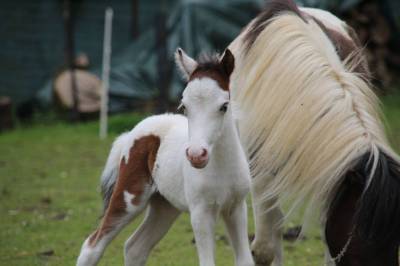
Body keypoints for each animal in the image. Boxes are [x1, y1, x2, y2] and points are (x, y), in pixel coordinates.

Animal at [76, 48, 253, 266]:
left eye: (224, 106)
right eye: (184, 106)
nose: (196, 155)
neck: (220, 166)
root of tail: (132, 133)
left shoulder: (236, 207)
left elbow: (245, 260)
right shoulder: (200, 212)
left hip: (164, 205)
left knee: (135, 248)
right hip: (129, 197)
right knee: (92, 245)